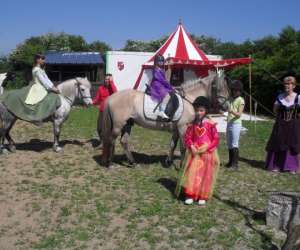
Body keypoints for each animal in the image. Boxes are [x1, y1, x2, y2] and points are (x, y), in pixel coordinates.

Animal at [101, 71, 230, 167]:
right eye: (218, 88)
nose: (226, 107)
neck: (189, 99)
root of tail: (112, 97)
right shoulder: (183, 127)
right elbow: (183, 147)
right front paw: (182, 165)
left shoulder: (176, 129)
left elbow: (173, 144)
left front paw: (169, 162)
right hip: (118, 125)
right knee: (111, 140)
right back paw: (109, 163)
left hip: (128, 124)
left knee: (124, 141)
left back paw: (132, 162)